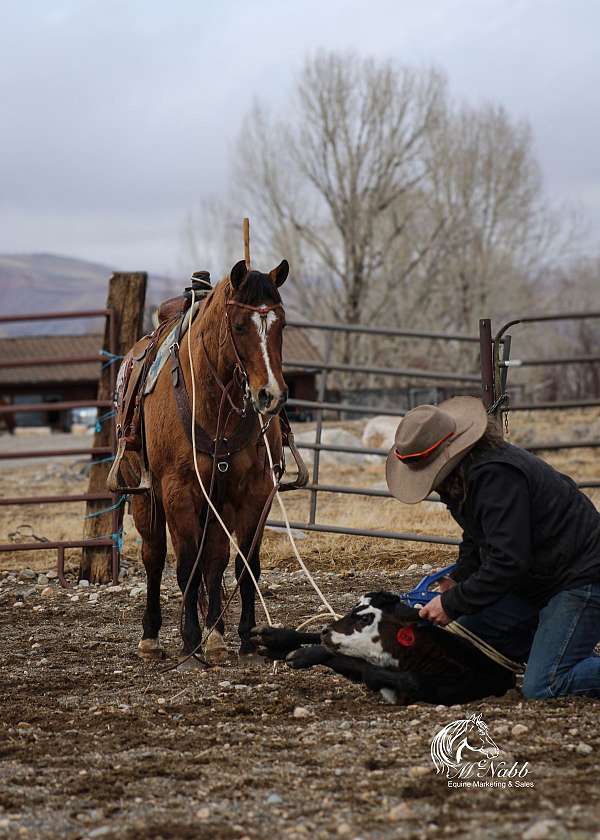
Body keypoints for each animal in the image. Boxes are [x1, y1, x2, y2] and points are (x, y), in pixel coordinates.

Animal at [132, 260, 290, 668]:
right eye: (239, 326)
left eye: (281, 324)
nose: (270, 394)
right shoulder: (178, 491)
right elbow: (186, 565)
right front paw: (190, 642)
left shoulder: (253, 492)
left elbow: (243, 565)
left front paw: (246, 637)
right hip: (144, 497)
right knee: (154, 557)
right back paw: (151, 637)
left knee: (215, 559)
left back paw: (215, 634)